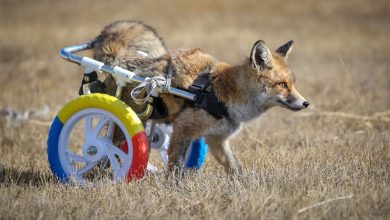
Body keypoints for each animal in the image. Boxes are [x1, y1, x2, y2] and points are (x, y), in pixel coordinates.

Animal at [93, 21, 310, 175]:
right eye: (282, 85)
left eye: (293, 84)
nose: (306, 103)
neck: (224, 93)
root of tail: (119, 62)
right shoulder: (183, 128)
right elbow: (176, 168)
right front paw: (175, 191)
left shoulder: (217, 140)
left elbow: (236, 169)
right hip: (124, 124)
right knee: (105, 150)